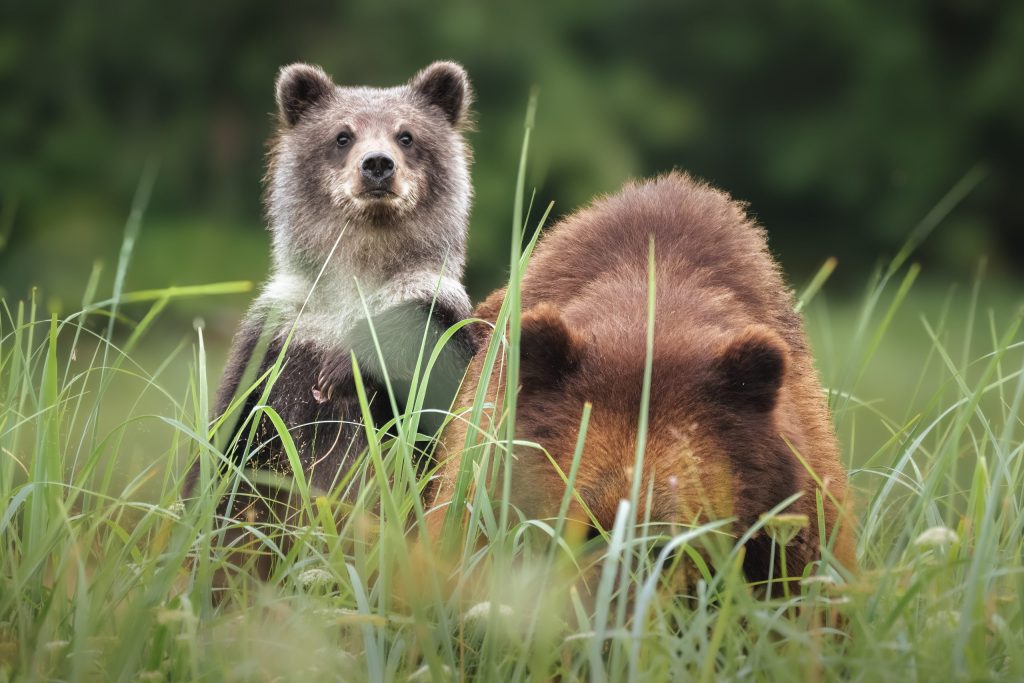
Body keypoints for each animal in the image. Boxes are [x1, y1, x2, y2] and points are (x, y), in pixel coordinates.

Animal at [185, 61, 478, 574]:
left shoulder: (443, 320)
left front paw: (349, 363)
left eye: (406, 135)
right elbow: (233, 449)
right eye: (343, 135)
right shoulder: (281, 338)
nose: (377, 164)